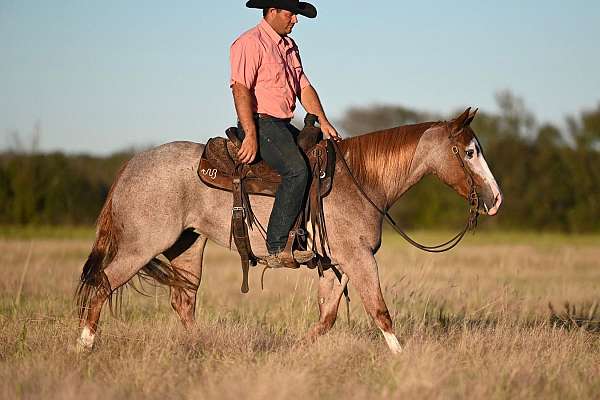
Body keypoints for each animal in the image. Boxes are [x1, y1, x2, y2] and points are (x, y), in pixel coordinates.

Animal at [77, 108, 504, 354]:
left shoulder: (336, 265)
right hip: (140, 247)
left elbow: (327, 318)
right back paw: (84, 347)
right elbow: (380, 312)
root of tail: (132, 164)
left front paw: (297, 352)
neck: (361, 180)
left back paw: (200, 346)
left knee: (183, 301)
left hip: (188, 248)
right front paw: (403, 361)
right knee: (102, 284)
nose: (495, 199)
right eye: (469, 152)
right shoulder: (359, 259)